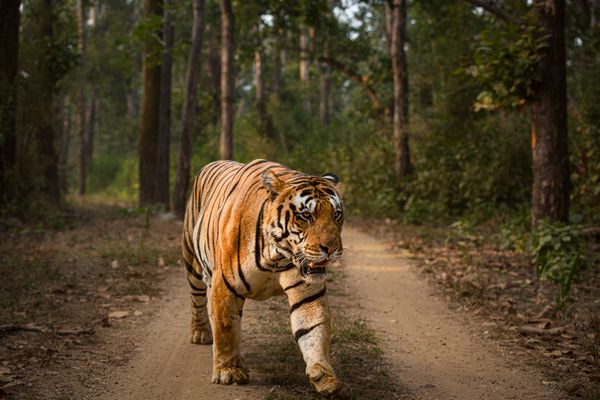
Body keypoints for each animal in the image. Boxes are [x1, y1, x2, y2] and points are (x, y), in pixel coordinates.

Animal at [183, 159, 352, 396]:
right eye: (306, 216)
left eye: (336, 214)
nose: (332, 249)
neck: (277, 256)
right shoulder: (224, 284)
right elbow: (226, 328)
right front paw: (229, 371)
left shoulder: (308, 294)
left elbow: (314, 331)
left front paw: (325, 378)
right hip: (192, 260)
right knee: (197, 299)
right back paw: (200, 334)